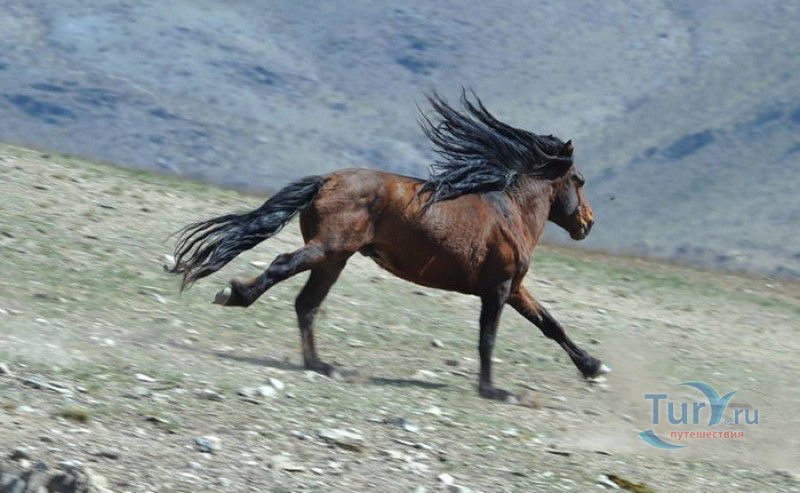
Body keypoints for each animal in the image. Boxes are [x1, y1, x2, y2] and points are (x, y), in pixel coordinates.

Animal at [170, 90, 608, 401]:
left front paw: (593, 366)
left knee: (306, 304)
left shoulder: (513, 287)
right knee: (282, 267)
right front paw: (494, 391)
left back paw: (322, 365)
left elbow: (550, 324)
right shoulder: (498, 289)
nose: (588, 223)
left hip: (335, 259)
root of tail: (325, 181)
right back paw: (234, 295)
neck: (511, 211)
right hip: (328, 249)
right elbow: (489, 338)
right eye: (580, 180)